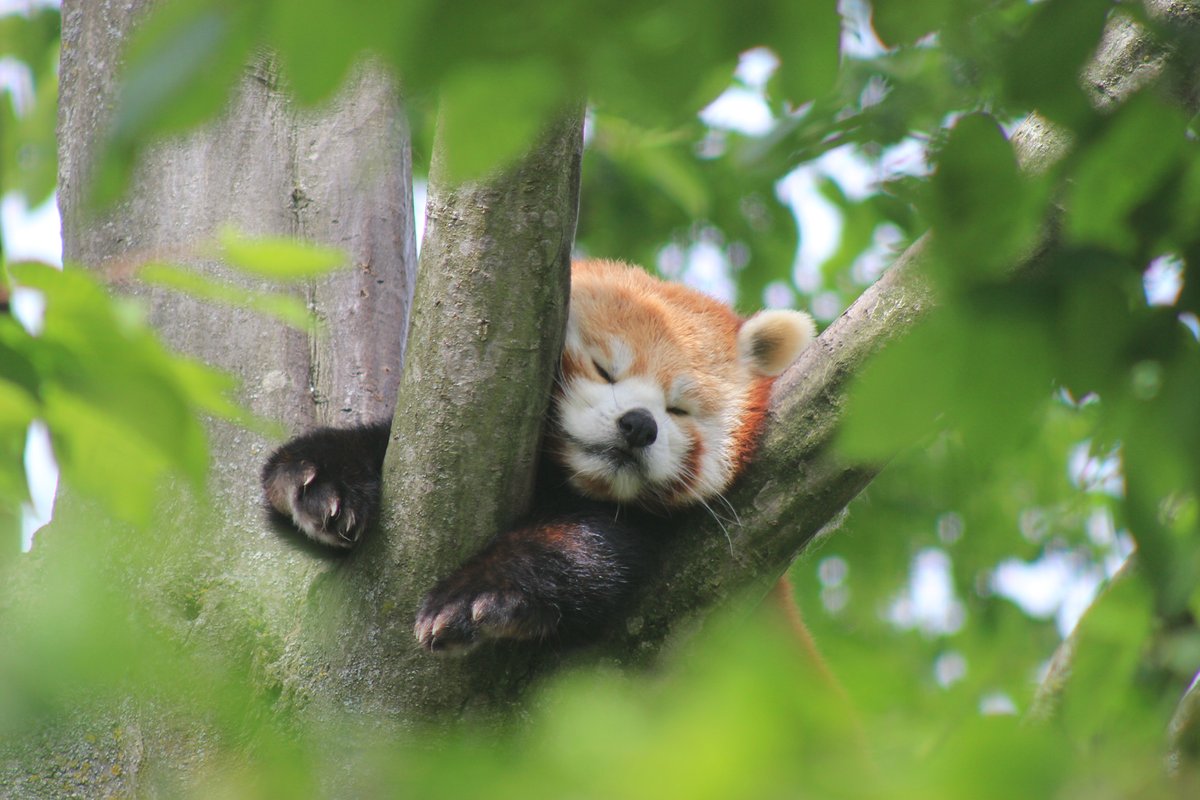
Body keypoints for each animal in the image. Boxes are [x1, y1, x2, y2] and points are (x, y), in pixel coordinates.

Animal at [262, 259, 815, 653]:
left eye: (680, 409)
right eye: (604, 369)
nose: (640, 425)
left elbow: (586, 548)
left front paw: (481, 594)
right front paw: (318, 479)